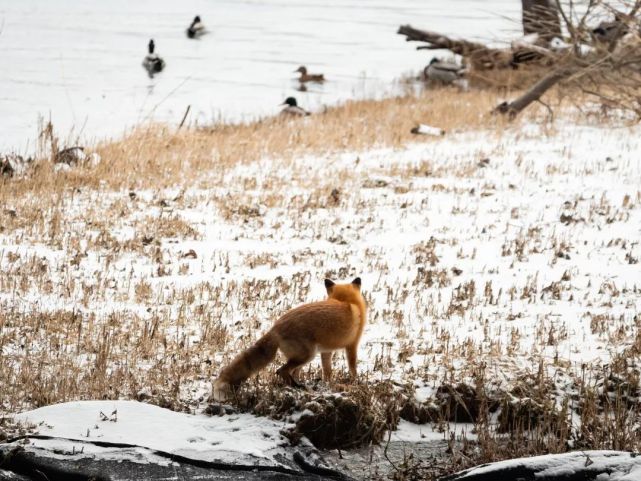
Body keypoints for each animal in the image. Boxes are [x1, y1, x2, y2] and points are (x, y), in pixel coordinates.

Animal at [212, 276, 368, 400]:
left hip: (304, 356)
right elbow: (352, 366)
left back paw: (296, 385)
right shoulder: (352, 345)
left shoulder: (326, 351)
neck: (346, 301)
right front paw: (355, 382)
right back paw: (296, 386)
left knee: (290, 371)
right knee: (281, 371)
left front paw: (328, 385)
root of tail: (275, 328)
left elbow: (327, 371)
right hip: (307, 355)